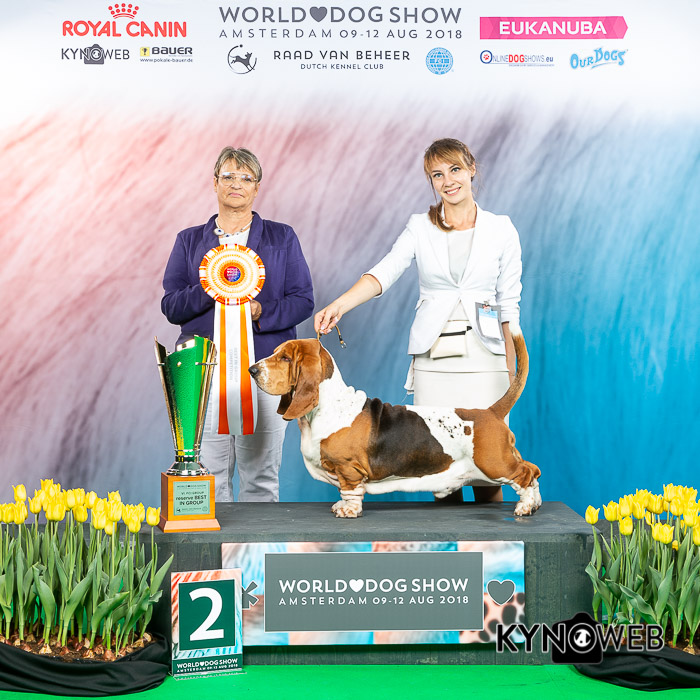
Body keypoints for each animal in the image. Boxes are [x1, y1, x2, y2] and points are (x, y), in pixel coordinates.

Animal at [248, 325, 541, 518]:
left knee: (526, 474)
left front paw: (348, 510)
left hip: (494, 463)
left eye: (285, 358)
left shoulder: (349, 469)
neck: (326, 406)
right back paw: (535, 503)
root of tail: (491, 411)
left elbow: (349, 490)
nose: (252, 369)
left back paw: (525, 507)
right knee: (533, 470)